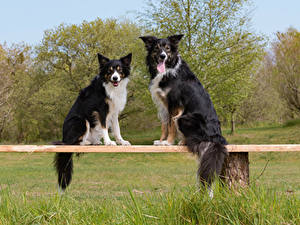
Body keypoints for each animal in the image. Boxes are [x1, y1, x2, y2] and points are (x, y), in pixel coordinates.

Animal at [53, 52, 132, 190]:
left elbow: (117, 129)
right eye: (109, 70)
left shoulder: (114, 112)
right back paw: (87, 143)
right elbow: (105, 127)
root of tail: (63, 138)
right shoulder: (101, 110)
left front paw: (121, 141)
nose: (115, 78)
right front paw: (109, 142)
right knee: (74, 143)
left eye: (120, 70)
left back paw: (95, 142)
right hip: (81, 121)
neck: (109, 87)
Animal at [139, 35, 229, 186]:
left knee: (195, 139)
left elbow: (171, 125)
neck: (168, 70)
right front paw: (161, 141)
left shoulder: (174, 104)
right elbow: (164, 125)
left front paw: (168, 142)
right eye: (156, 48)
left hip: (184, 118)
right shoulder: (163, 104)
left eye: (168, 49)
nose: (162, 56)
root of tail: (216, 138)